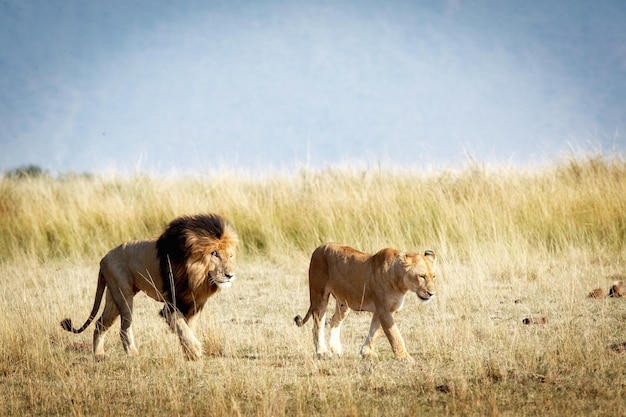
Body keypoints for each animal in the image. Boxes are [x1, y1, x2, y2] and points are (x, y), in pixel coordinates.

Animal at [60, 213, 236, 360]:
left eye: (230, 255)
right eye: (214, 253)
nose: (230, 275)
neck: (197, 276)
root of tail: (103, 259)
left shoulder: (193, 303)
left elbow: (188, 328)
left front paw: (188, 354)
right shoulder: (171, 304)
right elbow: (182, 327)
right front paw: (195, 351)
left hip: (113, 296)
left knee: (100, 324)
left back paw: (99, 355)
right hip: (124, 295)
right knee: (124, 328)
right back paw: (133, 355)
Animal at [292, 242, 434, 360]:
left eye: (434, 277)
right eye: (421, 276)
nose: (431, 294)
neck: (400, 281)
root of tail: (320, 247)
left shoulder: (384, 310)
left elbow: (375, 332)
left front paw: (367, 352)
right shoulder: (383, 310)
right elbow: (394, 334)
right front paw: (404, 357)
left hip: (344, 303)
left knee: (334, 321)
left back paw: (336, 349)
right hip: (319, 295)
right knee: (317, 325)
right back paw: (322, 352)